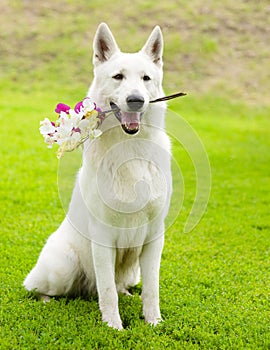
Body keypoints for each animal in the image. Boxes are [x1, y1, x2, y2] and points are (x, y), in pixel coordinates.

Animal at [23, 23, 171, 330]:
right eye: (118, 77)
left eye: (146, 78)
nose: (136, 100)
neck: (130, 150)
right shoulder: (103, 237)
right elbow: (107, 291)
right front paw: (114, 327)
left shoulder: (154, 237)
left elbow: (151, 290)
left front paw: (154, 323)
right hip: (63, 267)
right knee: (38, 289)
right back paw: (48, 300)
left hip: (132, 271)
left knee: (119, 286)